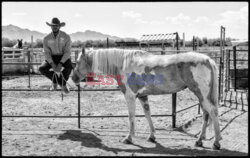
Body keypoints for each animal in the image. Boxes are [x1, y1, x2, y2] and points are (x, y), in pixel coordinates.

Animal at [71, 48, 222, 149]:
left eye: (77, 62)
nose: (73, 78)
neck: (124, 63)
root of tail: (208, 60)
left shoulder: (130, 96)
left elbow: (131, 116)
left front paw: (129, 138)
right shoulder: (143, 96)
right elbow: (147, 114)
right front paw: (152, 136)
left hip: (202, 94)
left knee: (213, 112)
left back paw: (216, 142)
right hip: (201, 95)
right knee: (206, 114)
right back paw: (199, 140)